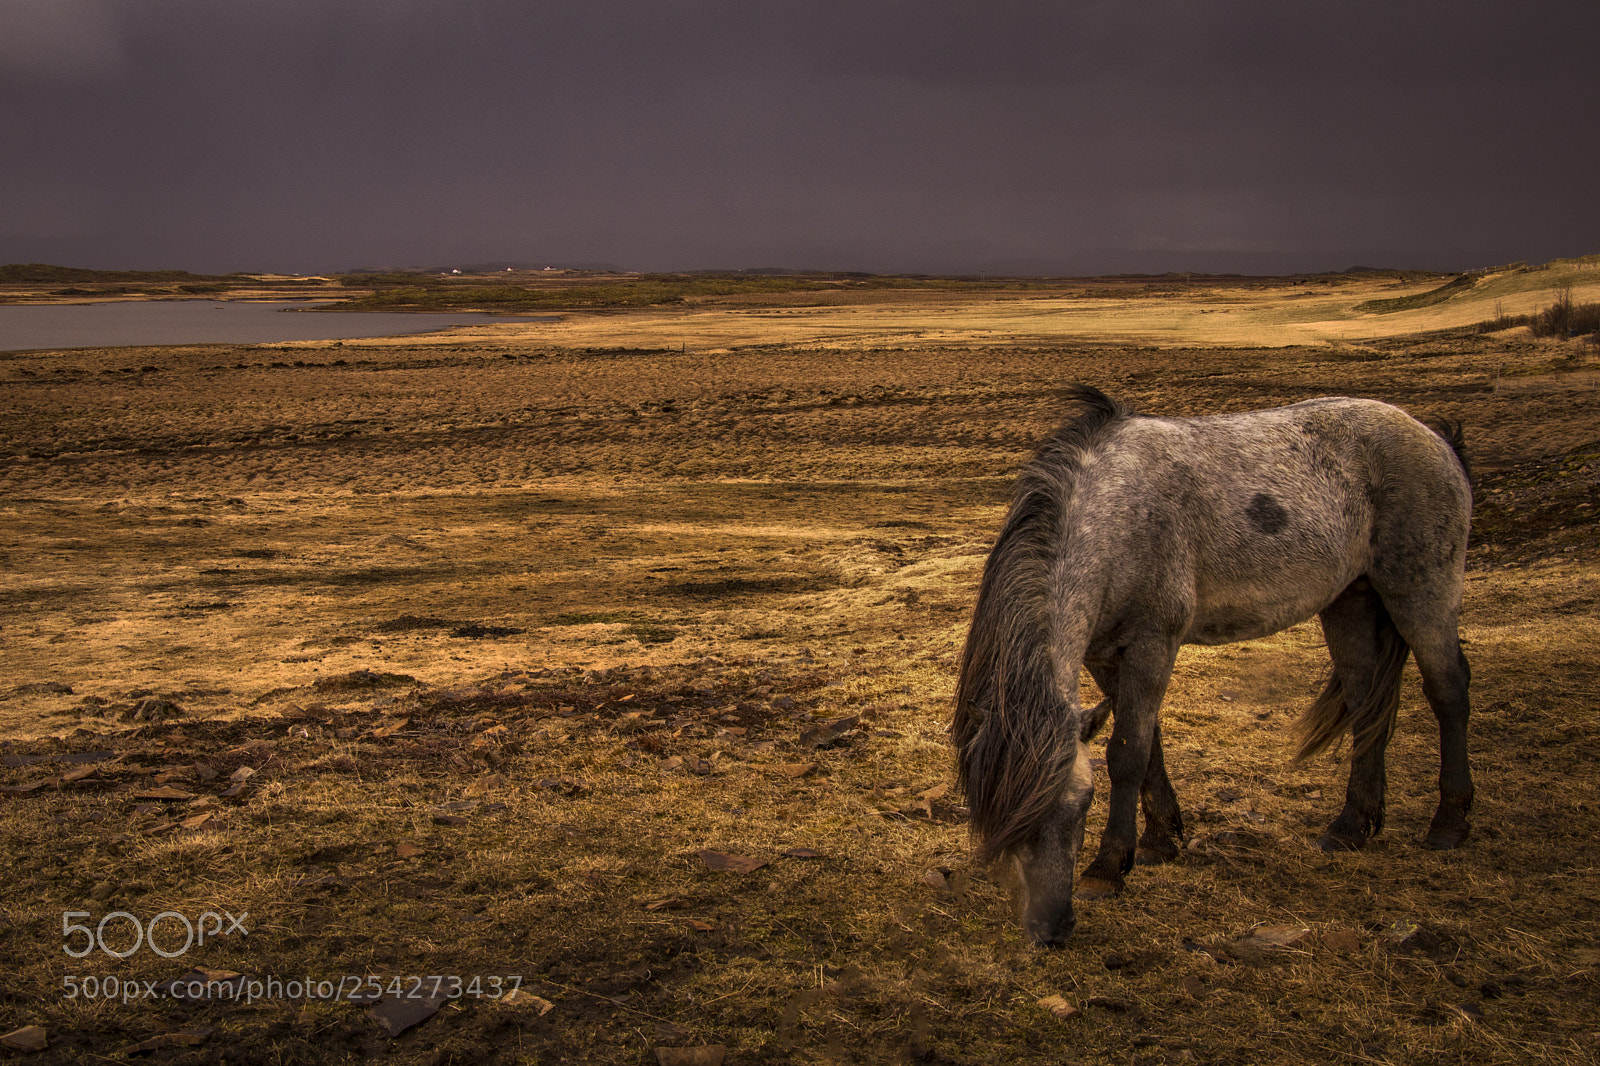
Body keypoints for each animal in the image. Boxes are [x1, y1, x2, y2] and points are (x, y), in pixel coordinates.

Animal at [952, 385, 1473, 947]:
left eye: (1082, 804)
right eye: (998, 819)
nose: (1051, 929)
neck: (1114, 515)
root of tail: (1434, 438)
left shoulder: (1153, 642)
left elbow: (1128, 753)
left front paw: (1108, 868)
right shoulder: (1103, 656)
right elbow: (1149, 745)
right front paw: (1160, 840)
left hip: (1420, 592)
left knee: (1449, 691)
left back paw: (1449, 823)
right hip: (1349, 601)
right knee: (1364, 701)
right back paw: (1351, 826)